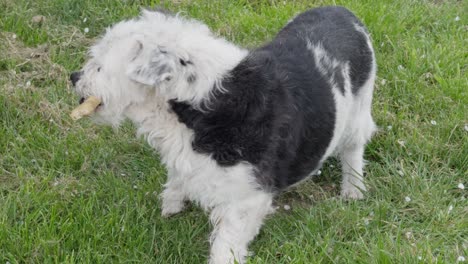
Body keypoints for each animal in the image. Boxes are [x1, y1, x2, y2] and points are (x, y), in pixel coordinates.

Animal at [69, 6, 376, 264]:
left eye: (100, 66)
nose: (73, 77)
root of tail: (343, 11)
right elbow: (177, 176)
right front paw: (171, 205)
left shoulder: (248, 197)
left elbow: (226, 244)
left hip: (359, 109)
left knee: (354, 148)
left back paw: (353, 189)